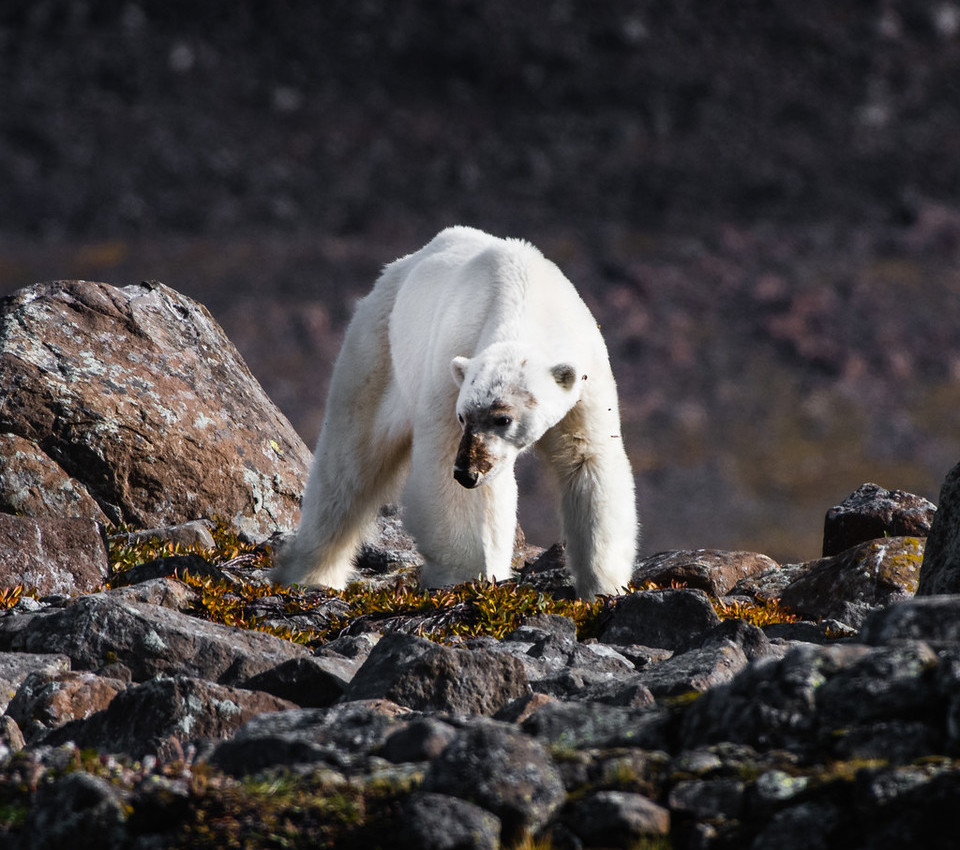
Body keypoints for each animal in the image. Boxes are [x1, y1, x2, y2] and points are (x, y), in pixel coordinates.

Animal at [274, 225, 640, 596]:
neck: (525, 295)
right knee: (350, 460)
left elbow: (588, 459)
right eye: (463, 415)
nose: (467, 473)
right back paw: (311, 574)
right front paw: (461, 577)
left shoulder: (585, 378)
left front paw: (604, 585)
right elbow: (442, 466)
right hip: (378, 350)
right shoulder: (452, 361)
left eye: (503, 418)